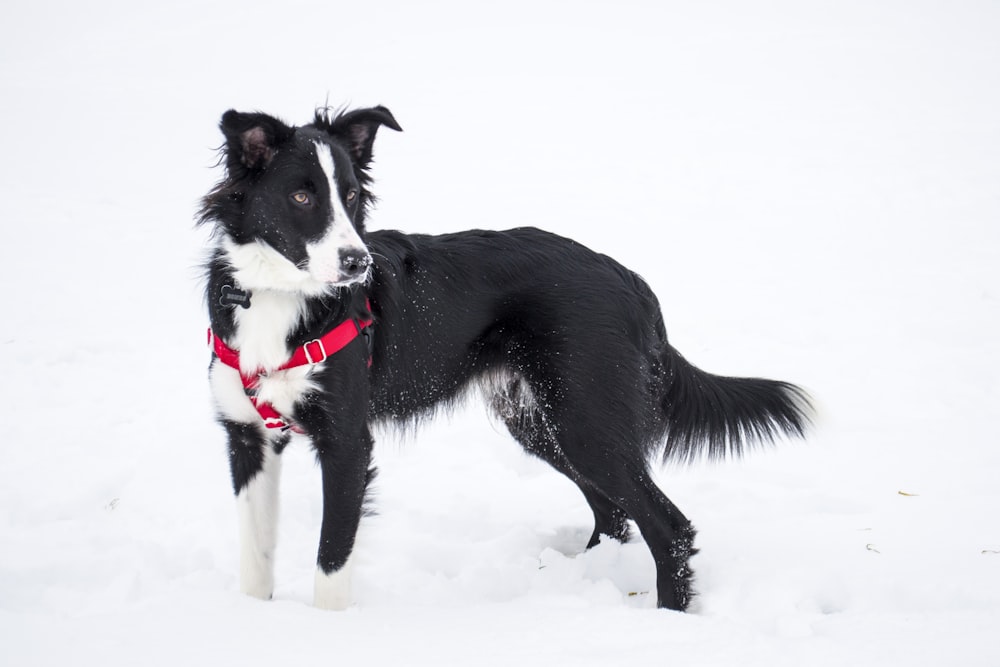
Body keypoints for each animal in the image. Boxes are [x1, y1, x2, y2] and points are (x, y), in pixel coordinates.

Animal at [197, 104, 812, 612]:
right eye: (301, 196)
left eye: (349, 196)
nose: (358, 264)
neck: (280, 297)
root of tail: (631, 281)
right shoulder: (246, 436)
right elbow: (256, 556)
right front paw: (252, 620)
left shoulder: (347, 442)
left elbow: (332, 558)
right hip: (544, 422)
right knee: (615, 512)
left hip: (585, 421)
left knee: (668, 527)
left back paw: (666, 620)